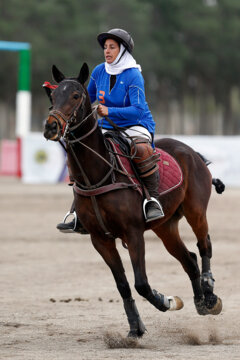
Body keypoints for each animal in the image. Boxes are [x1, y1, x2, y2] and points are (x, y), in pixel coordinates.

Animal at [42, 62, 223, 338]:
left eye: (75, 95)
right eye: (52, 96)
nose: (51, 127)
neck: (98, 175)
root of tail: (194, 152)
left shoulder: (133, 232)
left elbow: (141, 284)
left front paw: (167, 301)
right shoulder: (100, 239)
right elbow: (123, 285)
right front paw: (136, 328)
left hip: (195, 210)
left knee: (205, 245)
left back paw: (210, 294)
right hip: (166, 226)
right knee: (189, 259)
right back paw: (201, 302)